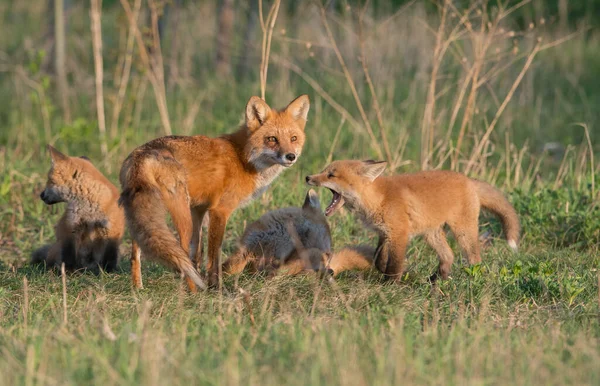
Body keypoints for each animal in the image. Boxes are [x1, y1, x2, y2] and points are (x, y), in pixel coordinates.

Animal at [120, 94, 312, 290]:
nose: (290, 156)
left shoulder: (198, 209)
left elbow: (197, 253)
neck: (242, 158)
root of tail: (143, 154)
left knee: (136, 254)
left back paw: (138, 287)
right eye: (272, 139)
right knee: (181, 253)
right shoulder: (219, 211)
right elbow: (213, 255)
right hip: (181, 214)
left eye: (293, 138)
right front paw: (215, 286)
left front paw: (204, 280)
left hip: (144, 215)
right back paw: (193, 292)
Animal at [308, 161, 516, 282]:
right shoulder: (385, 232)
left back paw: (472, 279)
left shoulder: (400, 233)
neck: (378, 199)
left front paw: (390, 283)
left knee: (474, 259)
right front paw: (382, 270)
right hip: (431, 234)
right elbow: (377, 257)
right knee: (448, 255)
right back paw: (436, 280)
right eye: (324, 171)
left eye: (331, 175)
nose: (308, 177)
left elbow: (395, 263)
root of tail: (469, 180)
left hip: (463, 233)